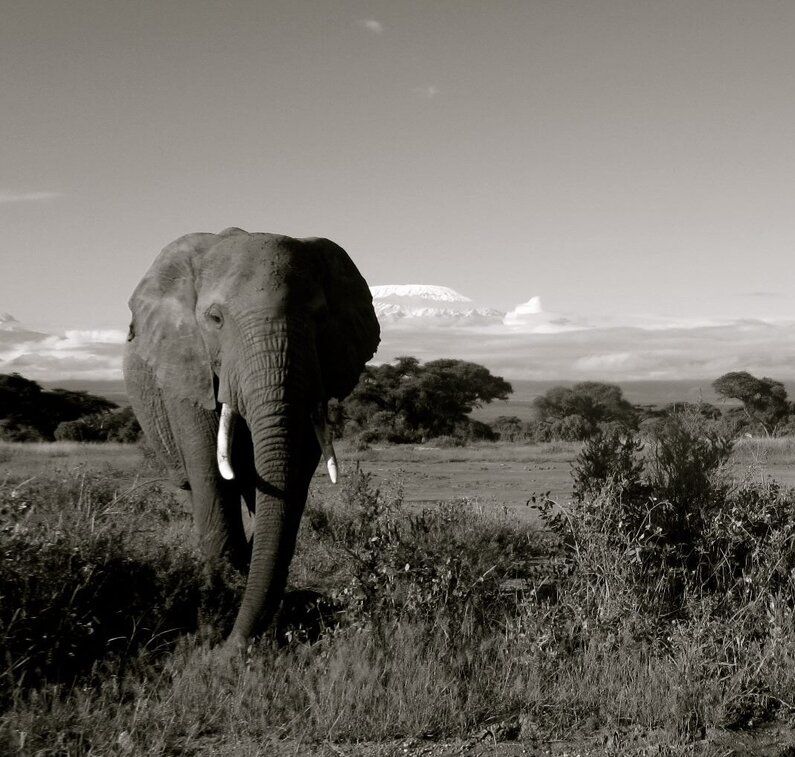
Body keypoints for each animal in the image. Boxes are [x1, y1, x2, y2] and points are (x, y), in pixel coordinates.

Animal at [123, 227, 380, 647]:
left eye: (320, 317)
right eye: (215, 319)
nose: (233, 648)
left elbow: (293, 475)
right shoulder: (187, 368)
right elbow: (212, 474)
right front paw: (218, 613)